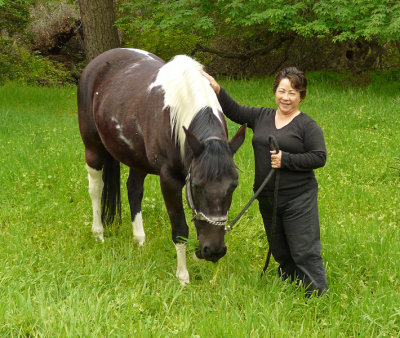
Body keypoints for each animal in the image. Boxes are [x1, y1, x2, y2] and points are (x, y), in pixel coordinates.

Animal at [77, 47, 245, 284]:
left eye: (233, 186)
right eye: (197, 186)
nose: (214, 251)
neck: (179, 109)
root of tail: (97, 63)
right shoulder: (169, 180)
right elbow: (180, 227)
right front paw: (183, 276)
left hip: (136, 158)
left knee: (134, 190)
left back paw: (139, 239)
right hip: (92, 148)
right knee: (95, 189)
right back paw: (98, 233)